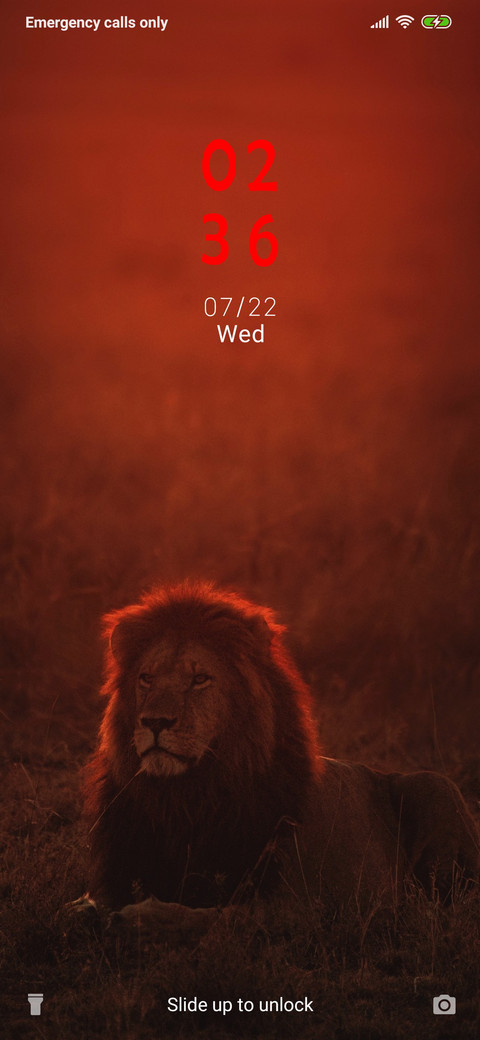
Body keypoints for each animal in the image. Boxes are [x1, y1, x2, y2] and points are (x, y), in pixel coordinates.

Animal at [81, 582, 479, 930]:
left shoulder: (297, 905)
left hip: (435, 786)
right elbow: (84, 906)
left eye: (200, 679)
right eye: (146, 678)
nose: (155, 722)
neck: (185, 798)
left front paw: (139, 915)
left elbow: (212, 916)